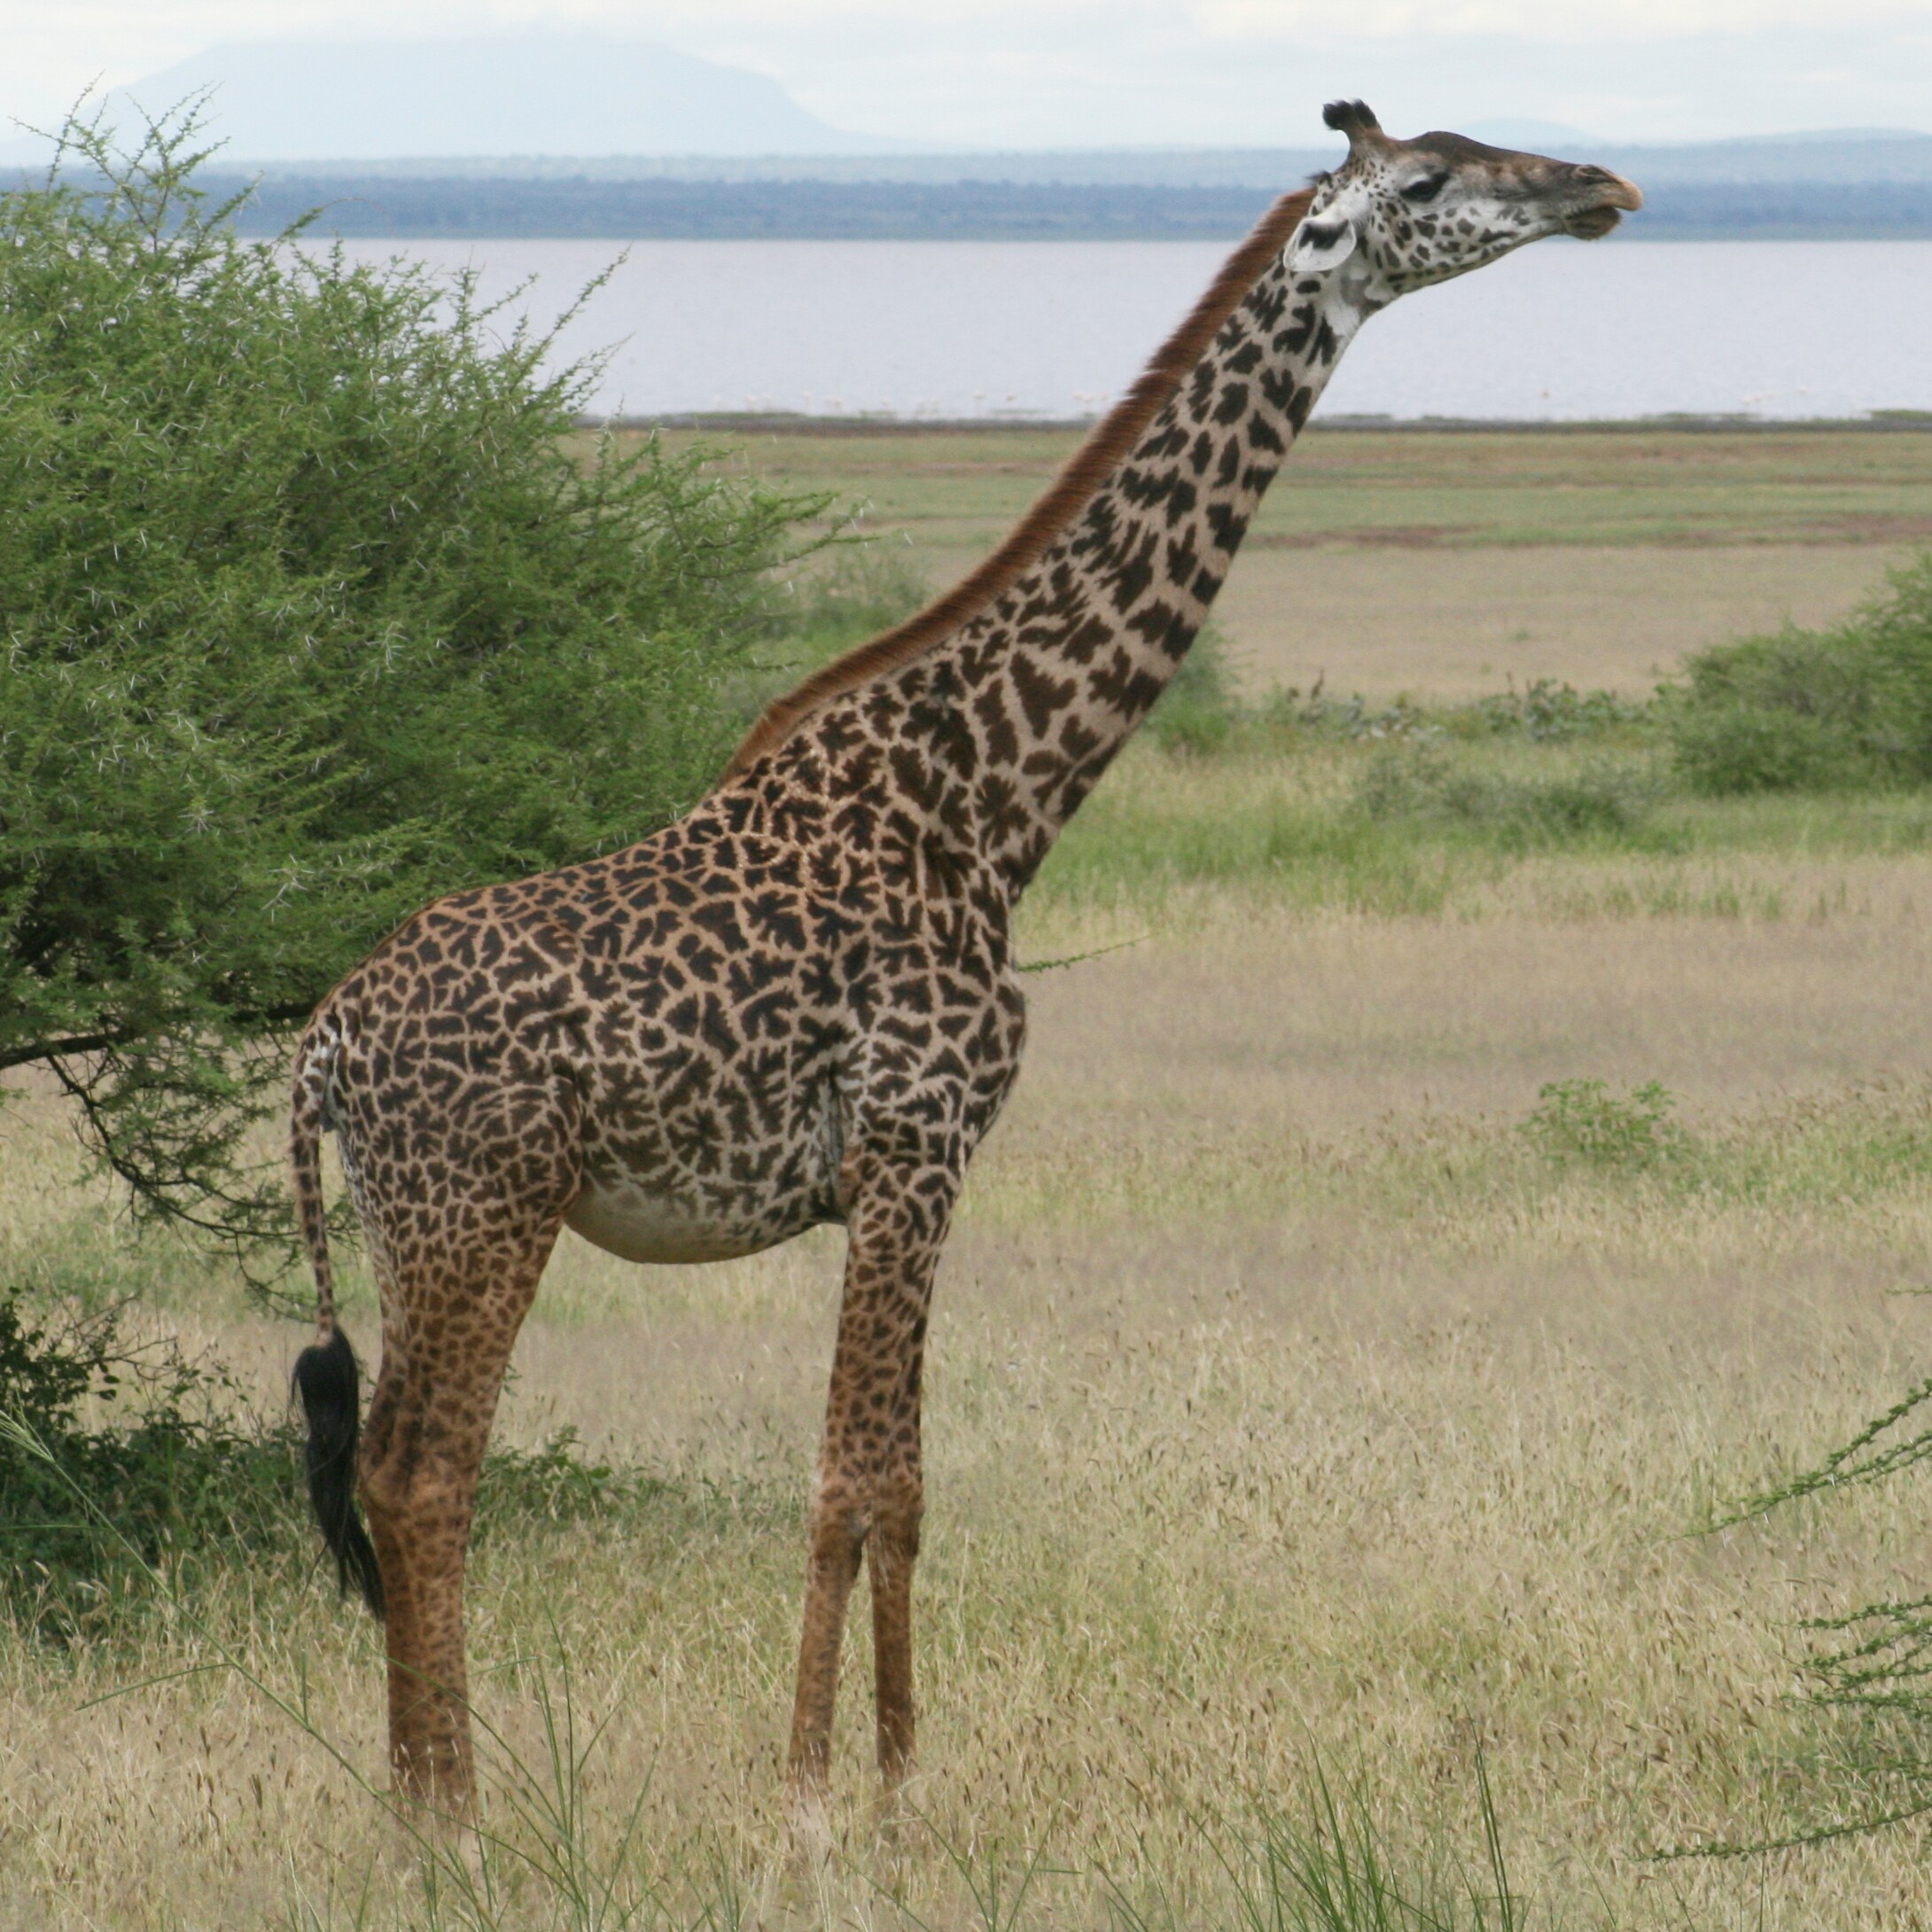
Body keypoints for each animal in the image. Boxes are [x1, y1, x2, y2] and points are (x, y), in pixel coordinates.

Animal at [291, 101, 1641, 1816]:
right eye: (1424, 180)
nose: (1604, 186)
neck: (993, 801)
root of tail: (325, 1038)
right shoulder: (910, 1143)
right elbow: (848, 1476)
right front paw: (817, 1806)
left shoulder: (929, 1171)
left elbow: (909, 1484)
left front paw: (897, 1784)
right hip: (485, 1210)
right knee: (424, 1473)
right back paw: (455, 1825)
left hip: (414, 1225)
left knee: (393, 1467)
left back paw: (418, 1814)